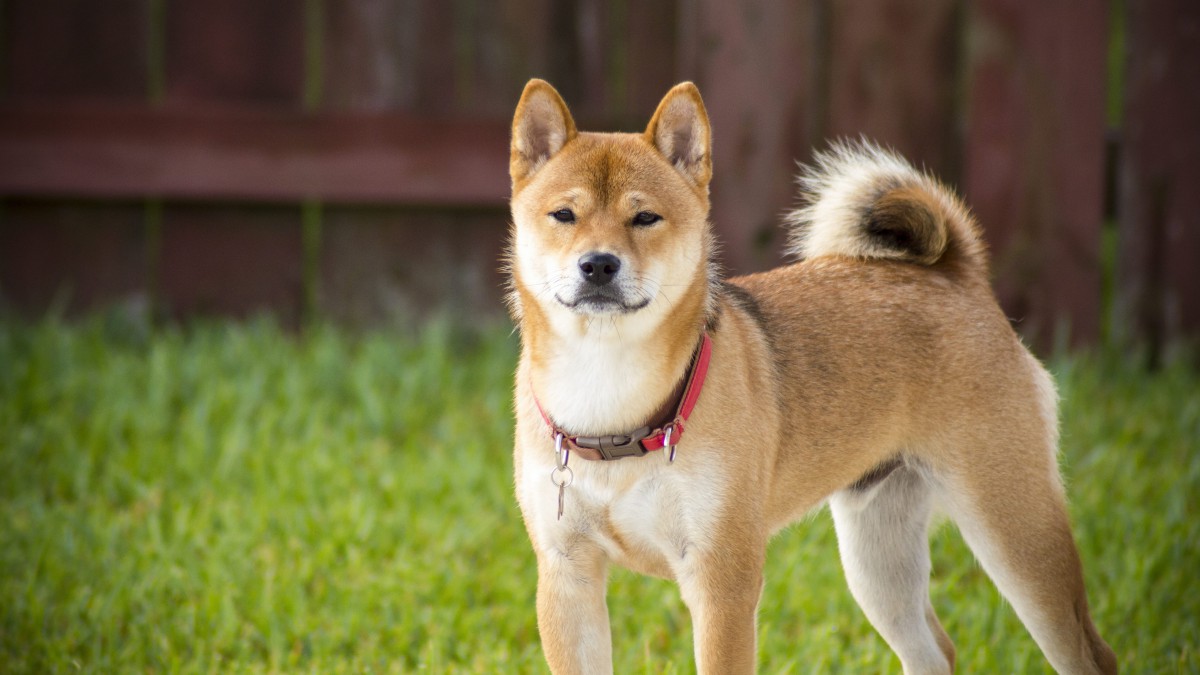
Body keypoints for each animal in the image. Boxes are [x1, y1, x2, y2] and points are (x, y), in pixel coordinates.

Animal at [504, 79, 1113, 672]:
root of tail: (956, 275)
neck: (609, 397)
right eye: (564, 216)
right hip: (878, 554)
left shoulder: (722, 582)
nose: (598, 264)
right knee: (935, 652)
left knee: (1089, 653)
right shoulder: (567, 577)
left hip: (1016, 534)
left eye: (645, 218)